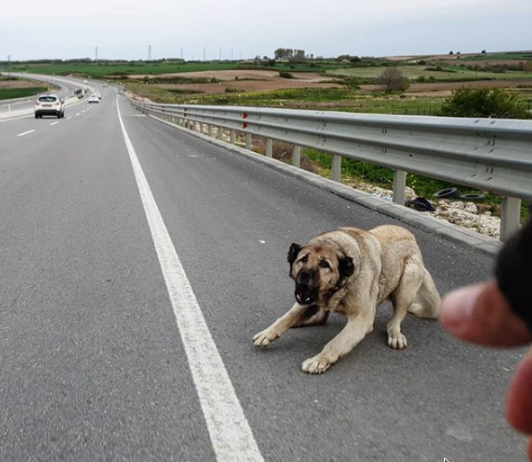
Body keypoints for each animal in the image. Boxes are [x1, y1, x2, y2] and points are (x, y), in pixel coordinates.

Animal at [254, 226, 440, 374]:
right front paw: (268, 333)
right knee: (319, 316)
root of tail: (412, 238)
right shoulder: (306, 301)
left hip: (406, 283)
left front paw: (319, 360)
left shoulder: (361, 320)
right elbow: (285, 318)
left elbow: (336, 343)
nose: (305, 275)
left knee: (397, 317)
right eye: (303, 260)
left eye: (325, 265)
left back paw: (394, 333)